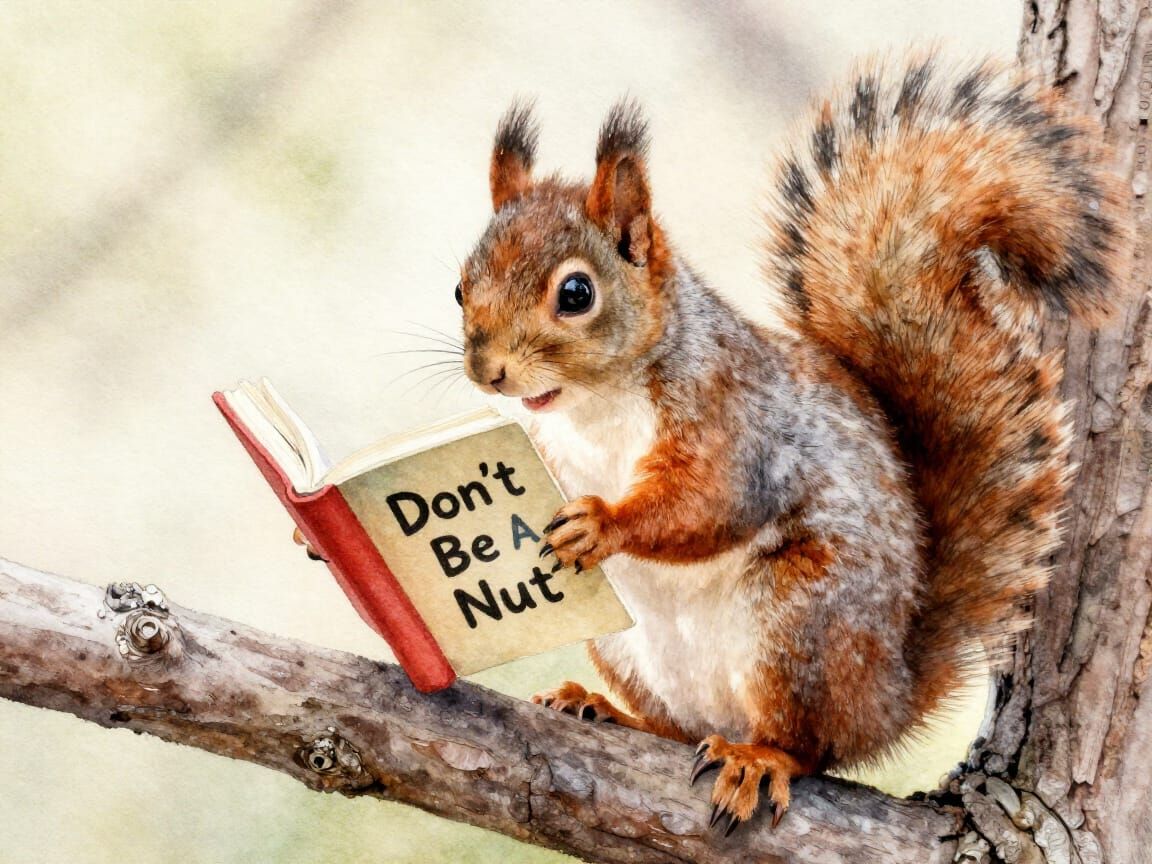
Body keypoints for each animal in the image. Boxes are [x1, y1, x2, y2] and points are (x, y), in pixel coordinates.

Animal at [445, 54, 1125, 834]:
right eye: (460, 288)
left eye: (577, 293)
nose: (487, 370)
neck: (594, 405)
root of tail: (889, 697)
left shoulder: (733, 416)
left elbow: (710, 502)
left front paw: (602, 522)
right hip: (626, 644)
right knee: (677, 729)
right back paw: (605, 709)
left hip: (799, 623)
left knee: (811, 746)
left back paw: (759, 758)